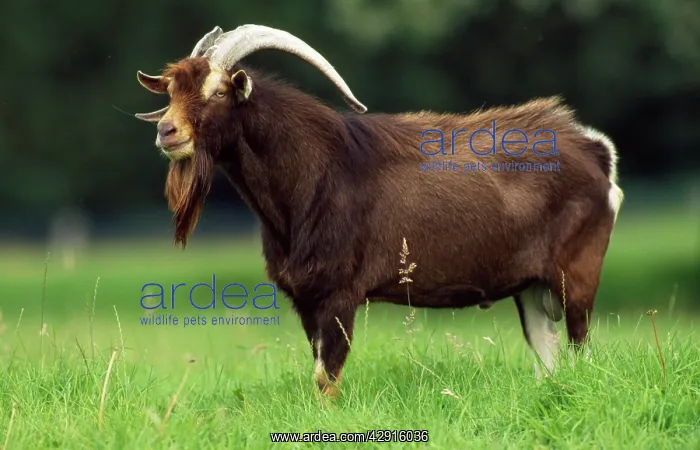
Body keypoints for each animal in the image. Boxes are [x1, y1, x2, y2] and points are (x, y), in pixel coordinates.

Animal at [134, 25, 624, 398]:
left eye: (218, 91)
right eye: (171, 90)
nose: (167, 131)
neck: (314, 174)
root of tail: (594, 150)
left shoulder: (339, 293)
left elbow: (326, 378)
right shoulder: (306, 299)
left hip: (576, 277)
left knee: (581, 348)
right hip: (531, 289)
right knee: (549, 360)